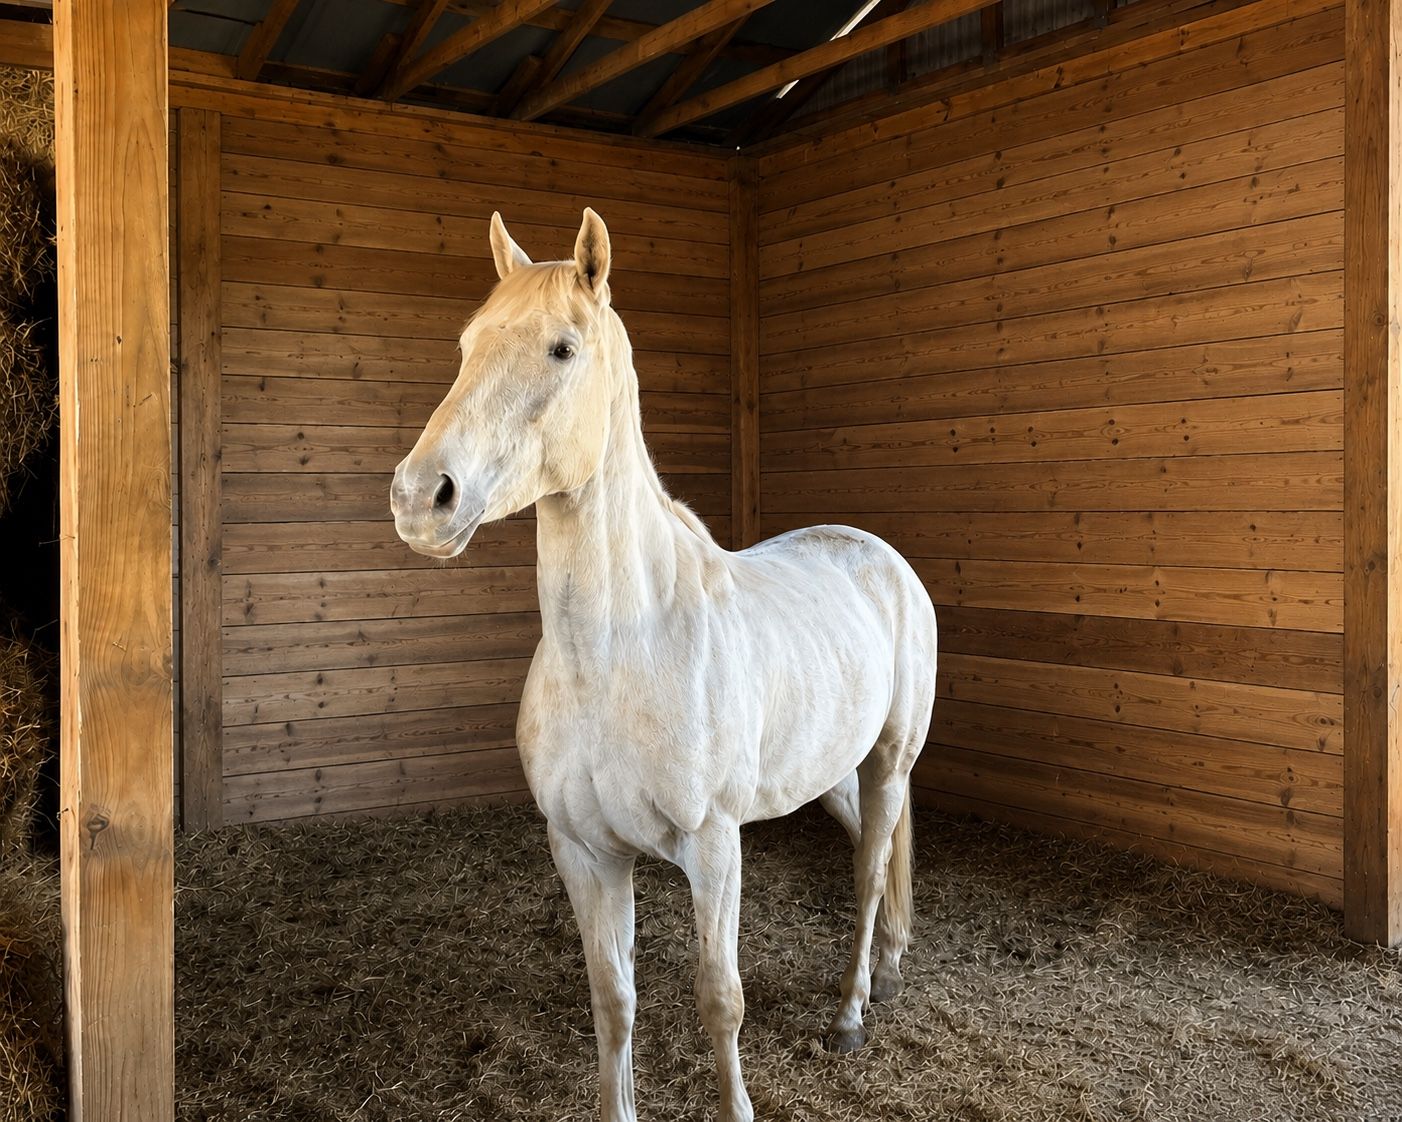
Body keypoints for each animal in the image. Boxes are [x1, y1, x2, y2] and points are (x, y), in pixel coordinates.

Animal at [390, 209, 938, 1122]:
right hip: (830, 773)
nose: (420, 497)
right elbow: (613, 1001)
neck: (620, 652)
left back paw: (854, 1011)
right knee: (877, 845)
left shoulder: (713, 847)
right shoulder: (584, 851)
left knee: (867, 874)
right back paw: (891, 969)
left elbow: (721, 999)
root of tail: (881, 556)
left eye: (563, 348)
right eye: (467, 344)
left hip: (887, 759)